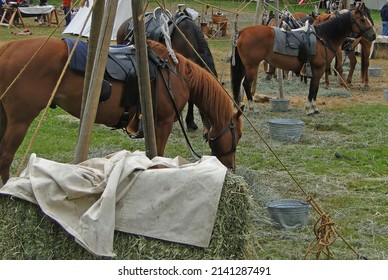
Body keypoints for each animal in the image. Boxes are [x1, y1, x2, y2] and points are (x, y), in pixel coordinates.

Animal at [0, 37, 242, 184]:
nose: (231, 167)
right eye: (237, 135)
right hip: (20, 120)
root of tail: (8, 48)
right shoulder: (163, 123)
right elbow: (158, 156)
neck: (176, 74)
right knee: (5, 156)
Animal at [230, 4, 376, 114]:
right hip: (251, 67)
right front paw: (310, 108)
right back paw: (252, 107)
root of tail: (242, 32)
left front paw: (313, 108)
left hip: (246, 67)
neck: (323, 38)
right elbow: (313, 88)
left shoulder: (317, 70)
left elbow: (314, 88)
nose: (373, 35)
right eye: (362, 19)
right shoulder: (318, 69)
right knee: (246, 84)